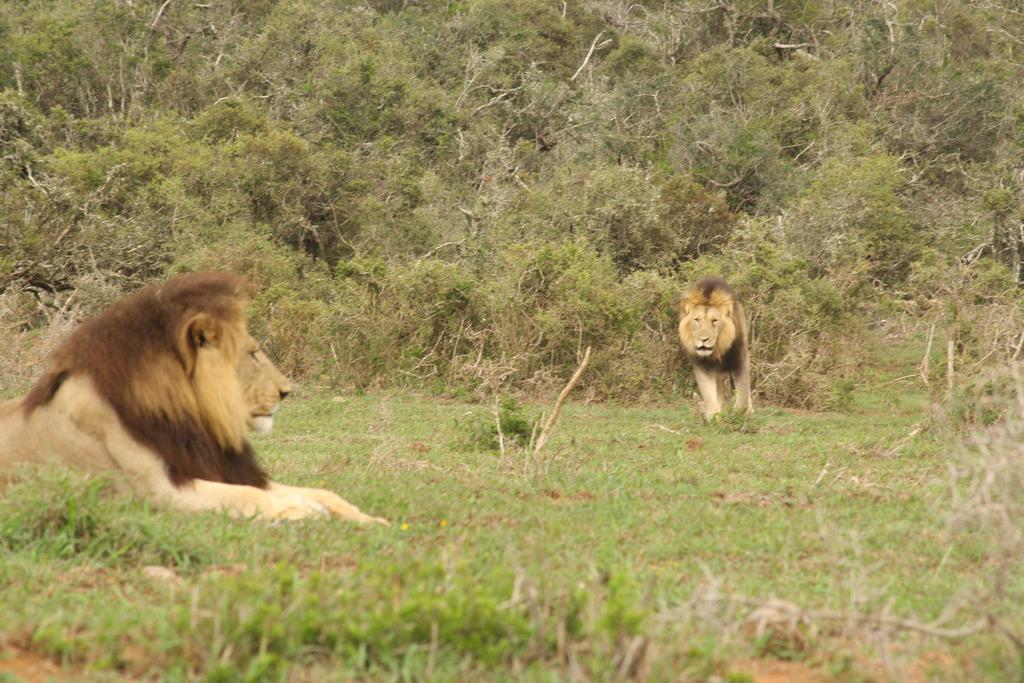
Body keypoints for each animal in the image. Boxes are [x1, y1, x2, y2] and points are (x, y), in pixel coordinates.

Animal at [0, 272, 387, 524]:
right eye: (253, 353)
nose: (286, 391)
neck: (195, 417)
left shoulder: (217, 467)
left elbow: (321, 492)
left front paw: (367, 519)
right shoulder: (159, 492)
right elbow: (250, 495)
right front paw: (300, 511)